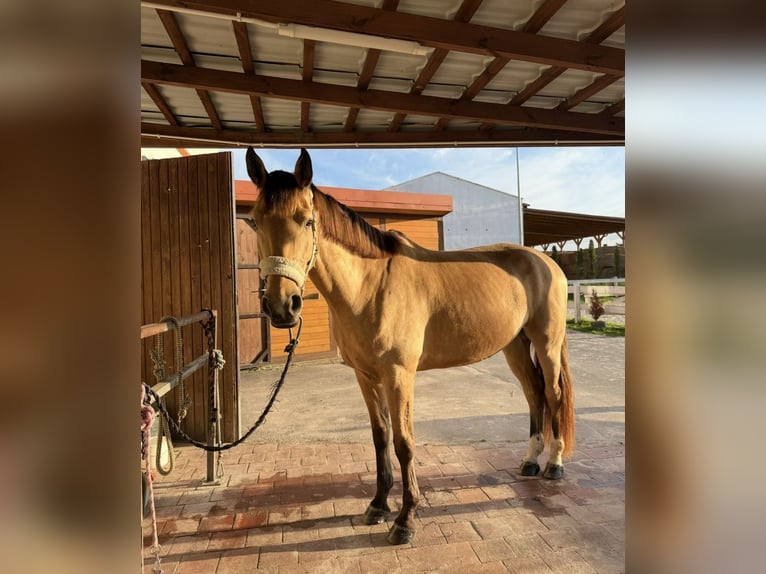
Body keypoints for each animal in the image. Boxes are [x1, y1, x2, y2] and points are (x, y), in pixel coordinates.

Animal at [245, 148, 575, 545]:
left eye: (306, 221)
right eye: (255, 222)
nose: (283, 306)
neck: (371, 286)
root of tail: (545, 261)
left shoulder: (398, 374)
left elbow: (404, 442)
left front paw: (405, 520)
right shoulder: (366, 376)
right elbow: (380, 437)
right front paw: (377, 506)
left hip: (547, 343)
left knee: (553, 394)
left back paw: (554, 464)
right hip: (514, 346)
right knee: (533, 393)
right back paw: (529, 461)